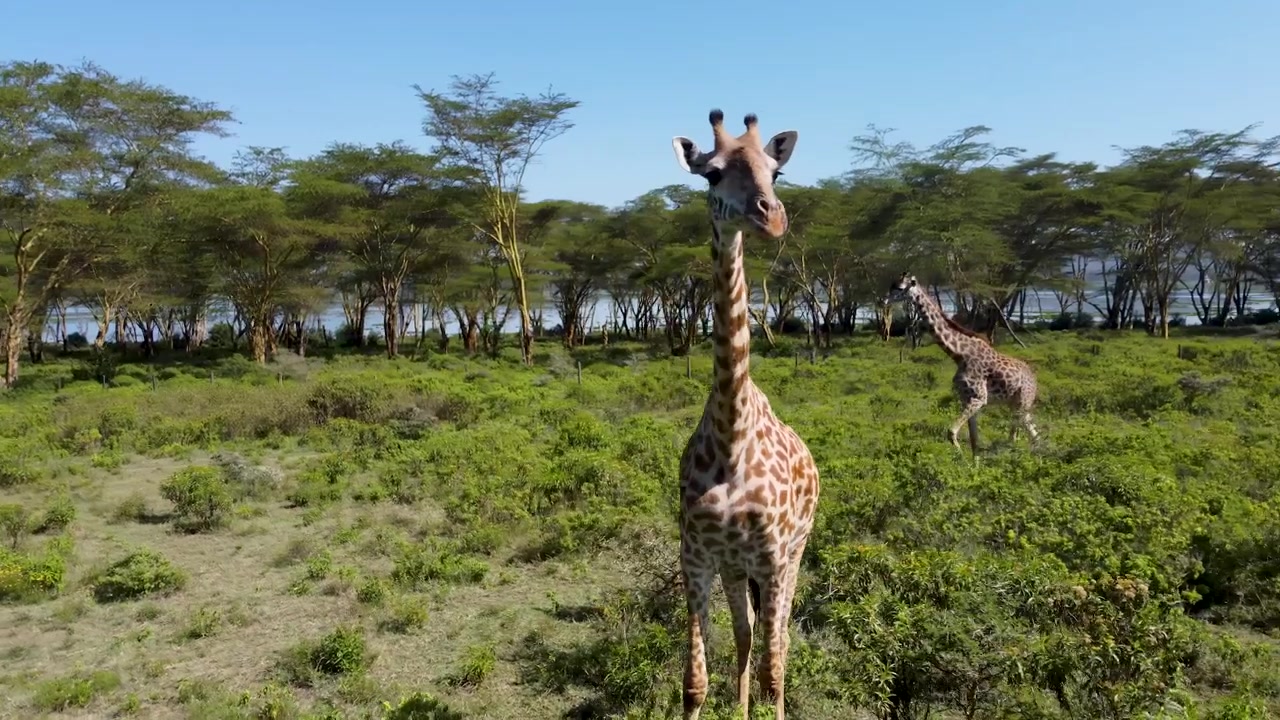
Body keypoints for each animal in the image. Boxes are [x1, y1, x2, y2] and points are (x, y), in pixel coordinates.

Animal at [886, 272, 1040, 455]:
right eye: (891, 285)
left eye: (899, 288)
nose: (884, 301)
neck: (959, 354)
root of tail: (1034, 378)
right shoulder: (966, 398)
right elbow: (974, 442)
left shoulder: (979, 398)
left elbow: (951, 432)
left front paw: (959, 456)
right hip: (1014, 404)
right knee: (1025, 434)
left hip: (1023, 401)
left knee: (1029, 434)